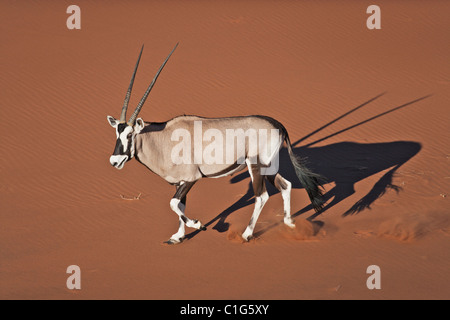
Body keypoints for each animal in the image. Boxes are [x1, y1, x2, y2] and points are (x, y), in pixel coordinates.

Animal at [106, 42, 324, 242]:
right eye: (117, 133)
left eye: (129, 135)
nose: (114, 161)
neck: (163, 138)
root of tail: (278, 124)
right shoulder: (179, 182)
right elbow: (180, 204)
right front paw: (178, 236)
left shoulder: (191, 178)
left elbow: (174, 204)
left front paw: (199, 225)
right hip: (268, 166)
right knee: (285, 185)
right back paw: (289, 223)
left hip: (256, 165)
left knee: (261, 196)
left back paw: (247, 234)